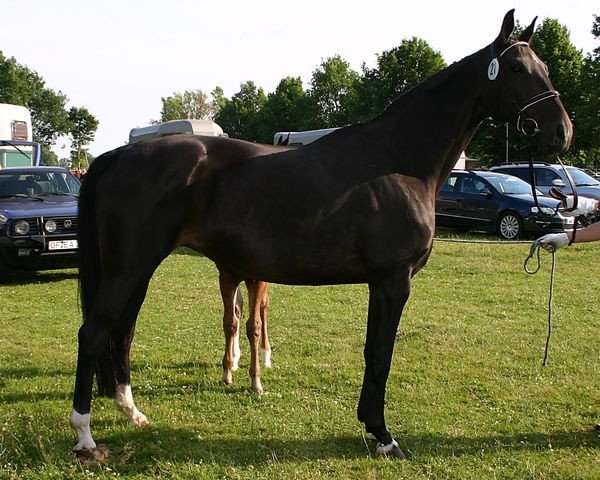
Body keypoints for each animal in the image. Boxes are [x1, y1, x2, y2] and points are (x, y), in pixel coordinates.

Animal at [70, 11, 572, 460]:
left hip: (136, 270)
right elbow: (379, 353)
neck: (397, 161)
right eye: (516, 68)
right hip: (129, 267)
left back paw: (132, 412)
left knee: (122, 332)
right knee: (94, 333)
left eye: (544, 67)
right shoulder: (392, 281)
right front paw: (382, 435)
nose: (561, 132)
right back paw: (85, 436)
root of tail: (116, 156)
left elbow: (374, 353)